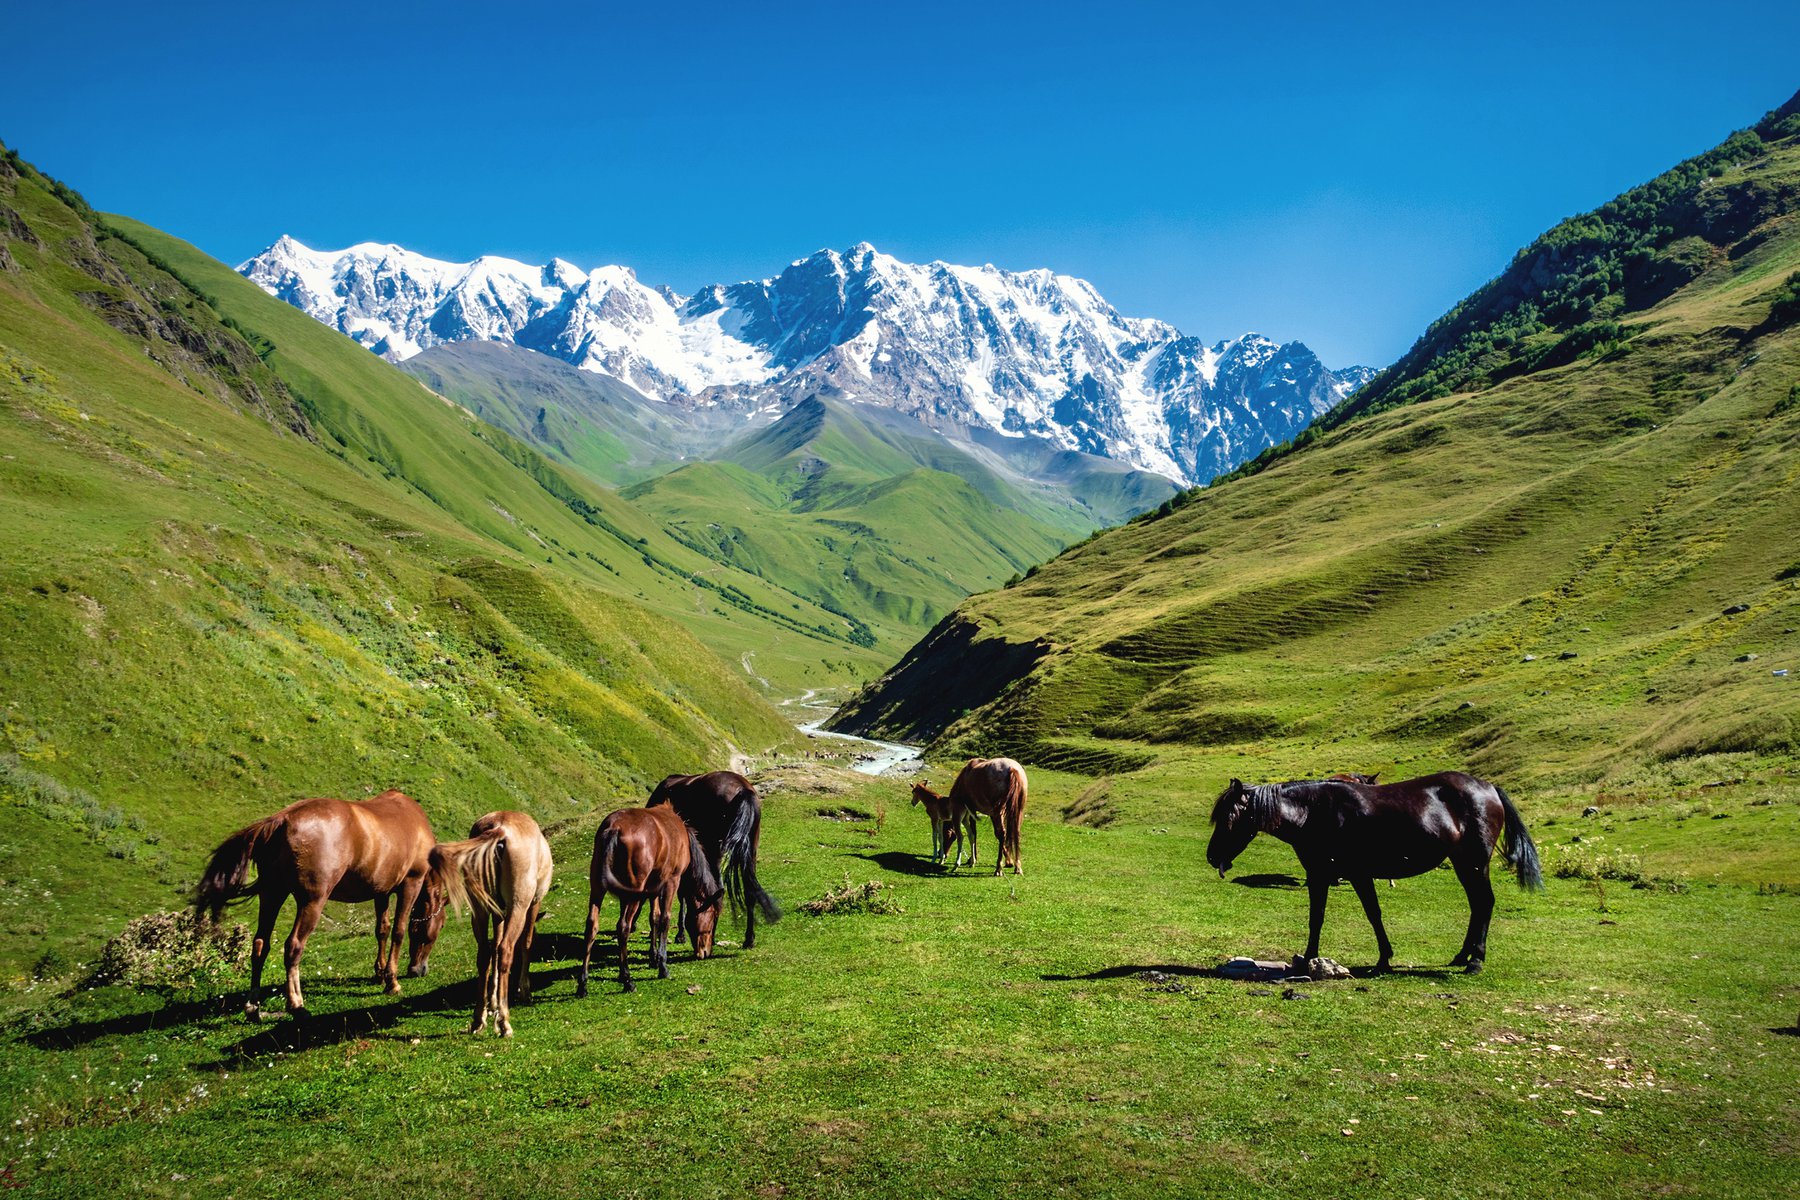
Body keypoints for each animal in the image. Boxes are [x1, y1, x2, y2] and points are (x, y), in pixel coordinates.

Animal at [195, 788, 437, 1021]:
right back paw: (296, 1005)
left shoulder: (381, 891)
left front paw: (380, 974)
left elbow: (382, 930)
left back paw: (253, 1007)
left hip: (272, 895)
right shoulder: (411, 883)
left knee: (260, 945)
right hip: (311, 902)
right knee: (293, 946)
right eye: (434, 930)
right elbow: (398, 931)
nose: (419, 970)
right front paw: (392, 982)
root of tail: (281, 820)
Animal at [424, 813, 550, 1036]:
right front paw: (523, 991)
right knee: (506, 949)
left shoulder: (498, 912)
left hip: (480, 909)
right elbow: (525, 943)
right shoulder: (534, 903)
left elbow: (494, 949)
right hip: (518, 905)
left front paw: (492, 1002)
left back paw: (478, 1019)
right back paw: (504, 1022)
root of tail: (500, 828)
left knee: (484, 954)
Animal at [572, 805, 720, 993]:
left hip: (598, 888)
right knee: (623, 927)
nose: (706, 952)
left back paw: (583, 983)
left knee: (592, 925)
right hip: (634, 892)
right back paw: (628, 980)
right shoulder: (671, 881)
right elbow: (664, 919)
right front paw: (662, 965)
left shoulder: (653, 886)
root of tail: (614, 828)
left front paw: (653, 957)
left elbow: (654, 918)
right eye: (713, 918)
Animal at [651, 773, 784, 949]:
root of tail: (743, 789)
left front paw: (680, 934)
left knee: (717, 890)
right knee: (747, 891)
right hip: (749, 850)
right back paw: (748, 939)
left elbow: (682, 894)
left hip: (714, 850)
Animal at [1202, 770, 1540, 978]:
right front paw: (1308, 959)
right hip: (1462, 863)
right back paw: (1461, 956)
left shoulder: (1358, 874)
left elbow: (1373, 914)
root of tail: (1488, 788)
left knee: (1484, 903)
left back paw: (1475, 961)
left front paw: (1383, 959)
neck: (1312, 812)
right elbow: (1316, 917)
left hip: (1475, 862)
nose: (1212, 856)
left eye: (1229, 818)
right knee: (1476, 905)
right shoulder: (1319, 874)